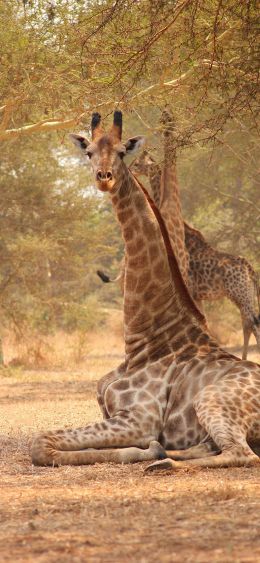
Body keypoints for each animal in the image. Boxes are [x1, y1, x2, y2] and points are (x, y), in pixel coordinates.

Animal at [32, 111, 260, 472]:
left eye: (122, 151)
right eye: (89, 152)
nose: (104, 177)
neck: (143, 341)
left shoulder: (140, 418)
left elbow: (40, 443)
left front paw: (146, 451)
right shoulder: (113, 414)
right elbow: (46, 442)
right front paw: (151, 448)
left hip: (212, 398)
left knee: (243, 453)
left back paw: (163, 462)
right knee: (215, 447)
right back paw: (170, 453)